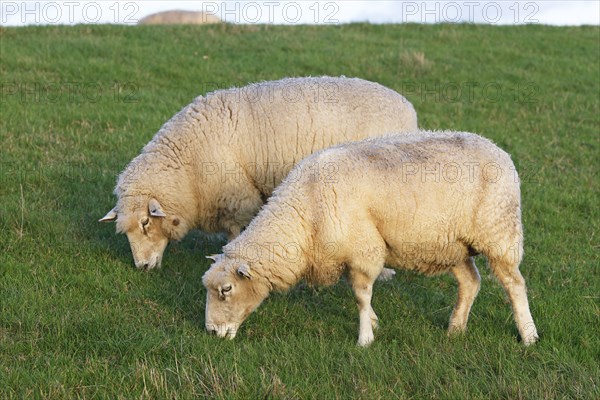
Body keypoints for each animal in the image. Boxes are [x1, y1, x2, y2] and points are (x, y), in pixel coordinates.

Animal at [99, 76, 418, 270]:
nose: (142, 267)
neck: (186, 167)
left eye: (145, 223)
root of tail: (408, 108)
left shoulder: (236, 196)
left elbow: (235, 230)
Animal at [202, 130, 540, 346]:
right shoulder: (347, 251)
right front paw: (375, 324)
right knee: (471, 282)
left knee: (515, 285)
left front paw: (365, 338)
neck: (305, 212)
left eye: (226, 290)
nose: (211, 332)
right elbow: (358, 292)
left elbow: (361, 295)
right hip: (450, 245)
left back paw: (529, 335)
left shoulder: (364, 249)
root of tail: (498, 149)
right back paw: (456, 329)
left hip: (499, 231)